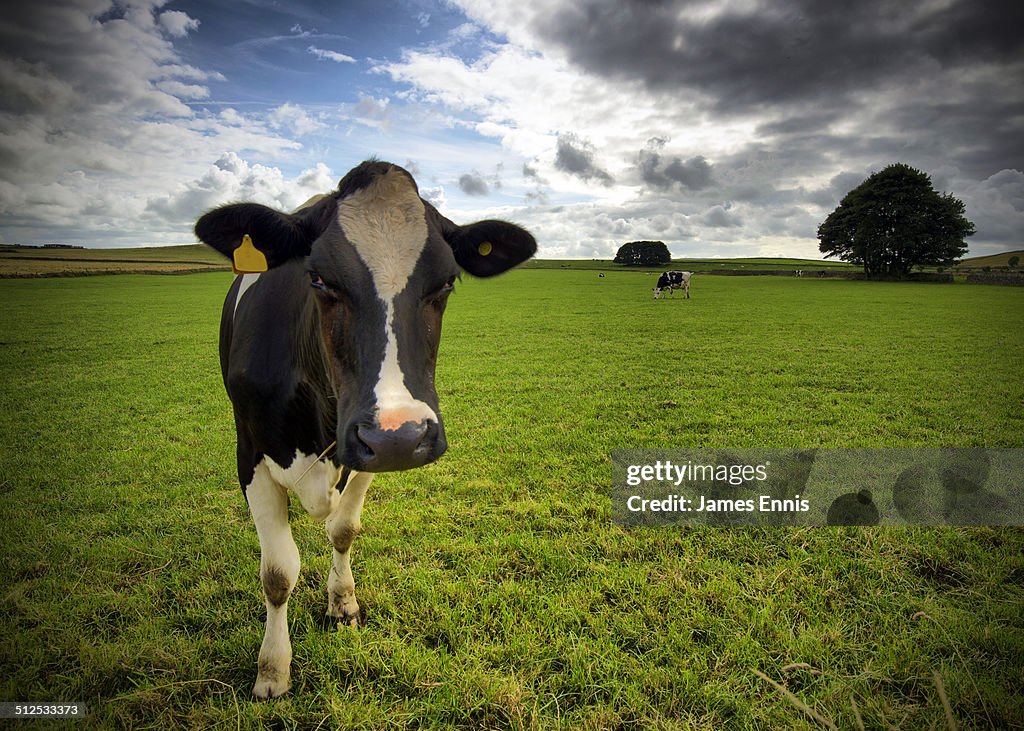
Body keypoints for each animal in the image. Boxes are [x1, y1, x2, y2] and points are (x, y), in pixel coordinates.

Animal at [194, 157, 540, 696]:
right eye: (317, 278)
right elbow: (278, 573)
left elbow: (343, 531)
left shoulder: (367, 454)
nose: (400, 434)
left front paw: (343, 604)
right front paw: (272, 669)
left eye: (447, 282)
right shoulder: (250, 454)